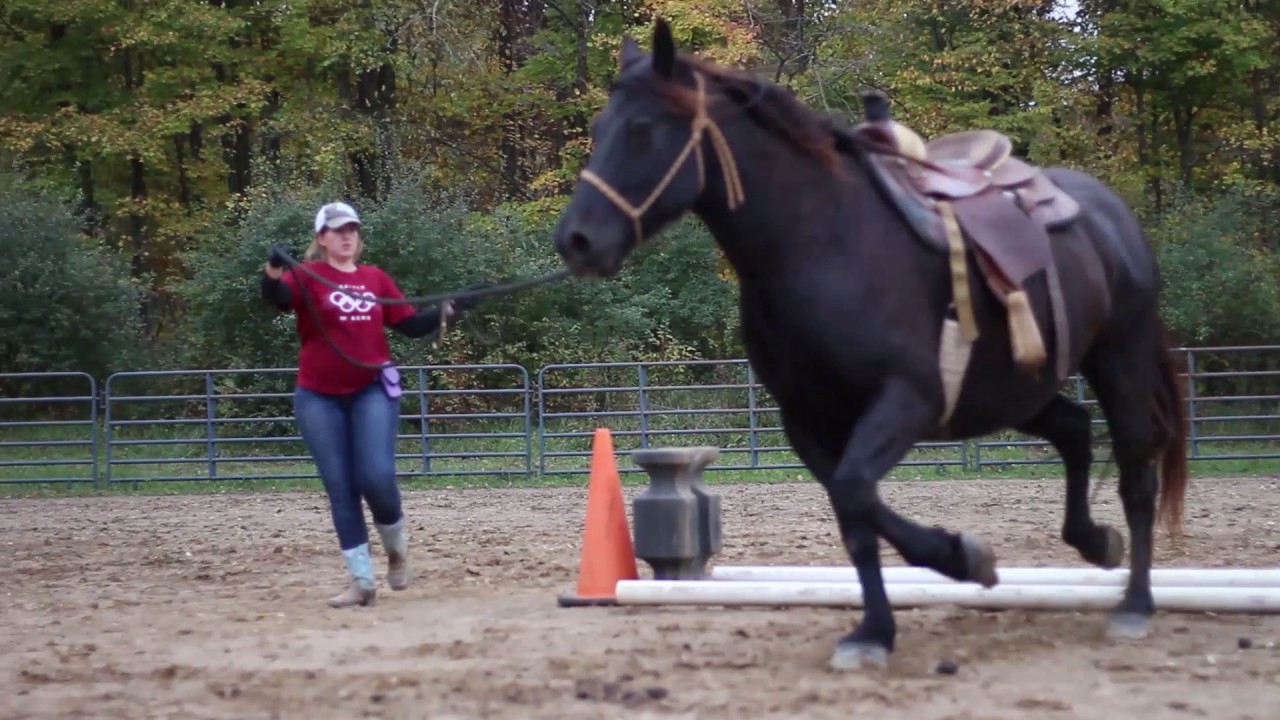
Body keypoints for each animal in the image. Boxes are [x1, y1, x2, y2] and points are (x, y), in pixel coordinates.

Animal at [551, 19, 1190, 671]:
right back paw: (1095, 542)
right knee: (1075, 431)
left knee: (1136, 472)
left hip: (1119, 359)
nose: (576, 241)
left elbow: (857, 490)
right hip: (1014, 392)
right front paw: (880, 626)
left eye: (641, 129)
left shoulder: (909, 399)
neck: (821, 244)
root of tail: (1110, 214)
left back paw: (1135, 604)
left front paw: (959, 558)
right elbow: (853, 513)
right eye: (599, 129)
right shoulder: (807, 420)